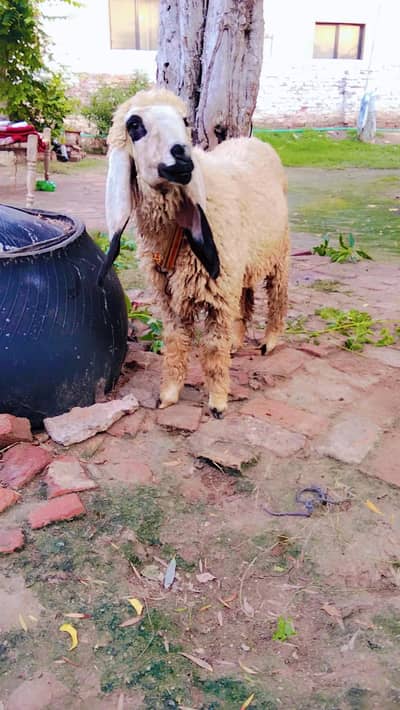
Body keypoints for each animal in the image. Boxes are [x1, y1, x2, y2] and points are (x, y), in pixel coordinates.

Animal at [100, 87, 290, 418]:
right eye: (134, 125)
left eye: (185, 120)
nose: (182, 154)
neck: (173, 237)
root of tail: (254, 141)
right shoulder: (171, 297)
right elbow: (176, 342)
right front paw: (169, 394)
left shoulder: (216, 294)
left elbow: (212, 348)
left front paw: (218, 401)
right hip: (242, 264)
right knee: (245, 298)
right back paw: (237, 341)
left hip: (278, 255)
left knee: (277, 297)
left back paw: (269, 341)